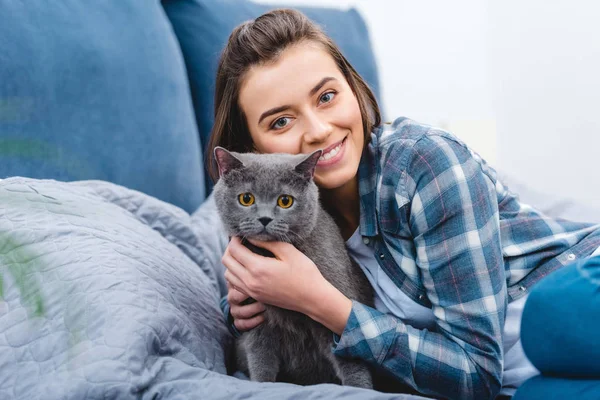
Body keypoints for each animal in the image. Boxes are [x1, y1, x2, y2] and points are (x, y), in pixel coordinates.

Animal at [212, 147, 376, 388]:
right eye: (246, 198)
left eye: (285, 201)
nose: (264, 218)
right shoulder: (256, 317)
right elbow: (260, 358)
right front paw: (264, 386)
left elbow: (351, 360)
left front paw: (361, 390)